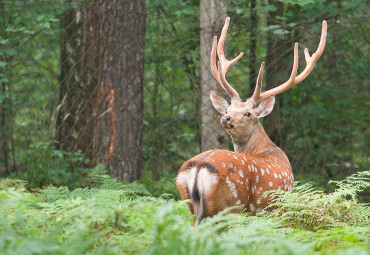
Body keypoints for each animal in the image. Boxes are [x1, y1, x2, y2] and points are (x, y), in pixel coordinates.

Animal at [176, 17, 326, 223]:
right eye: (228, 109)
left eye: (248, 113)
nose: (225, 117)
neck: (266, 148)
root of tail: (199, 167)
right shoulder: (280, 206)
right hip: (229, 206)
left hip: (190, 205)